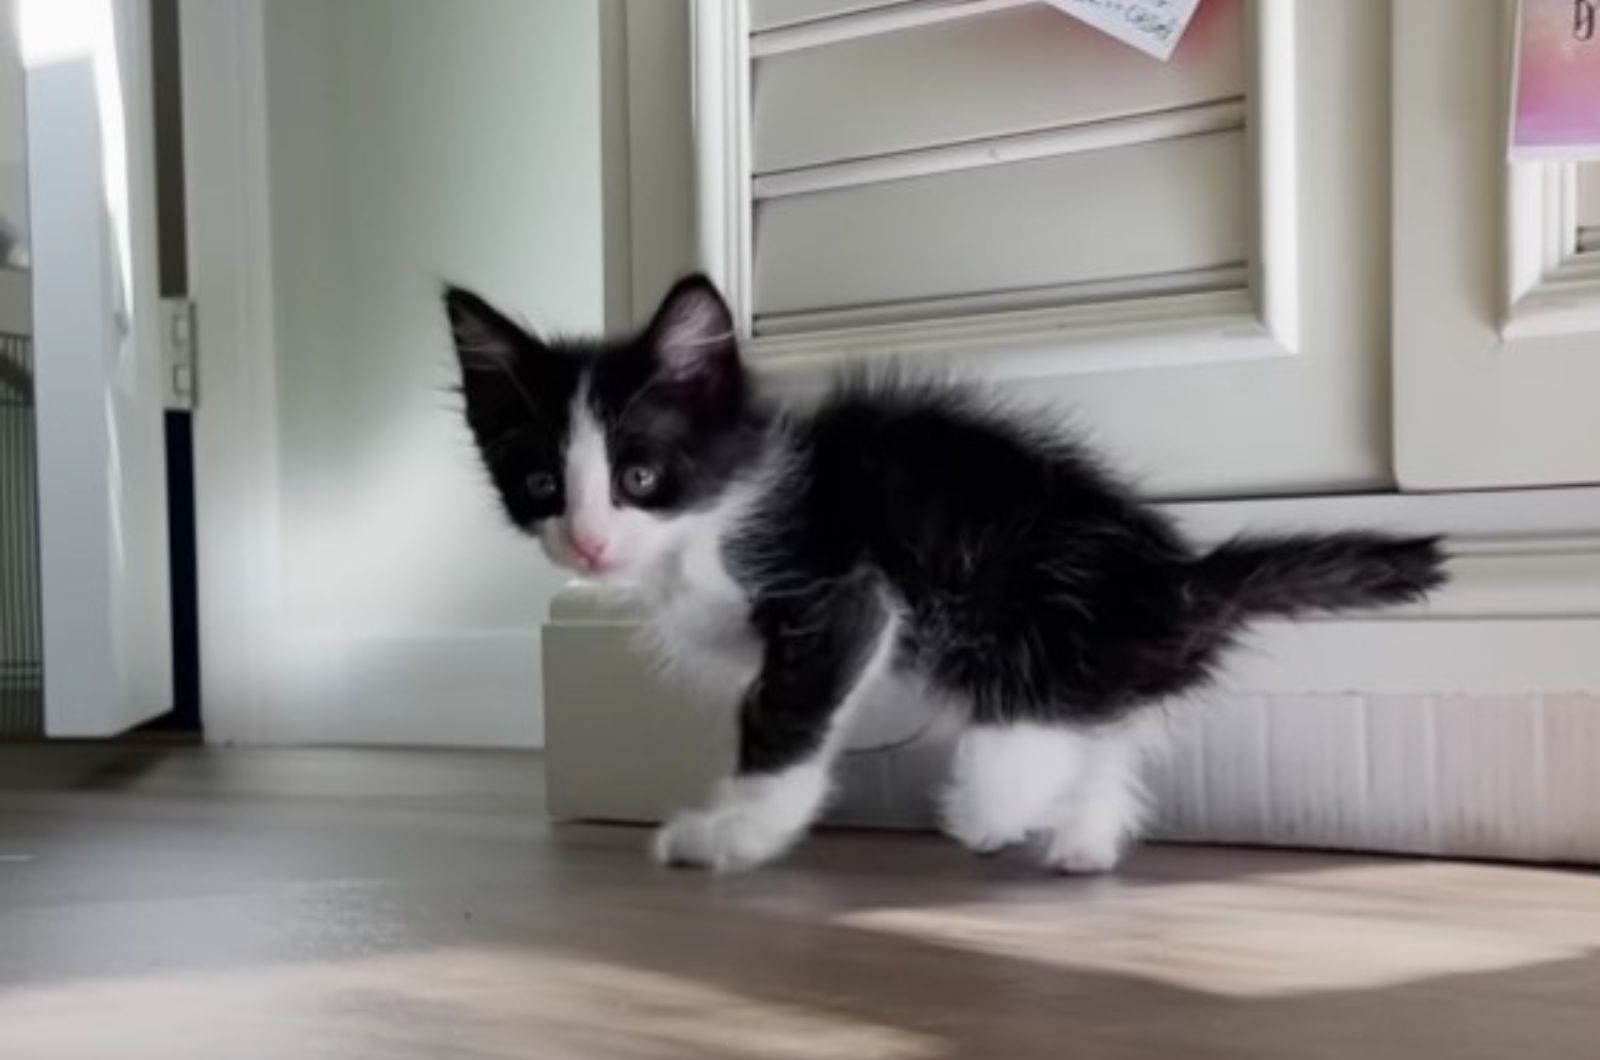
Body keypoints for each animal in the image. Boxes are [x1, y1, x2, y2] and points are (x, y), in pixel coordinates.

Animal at [441, 278, 1452, 877]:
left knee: (1043, 709)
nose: (587, 546)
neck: (718, 514)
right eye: (540, 484)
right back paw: (1084, 837)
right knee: (1104, 724)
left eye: (641, 477)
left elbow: (781, 714)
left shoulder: (838, 593)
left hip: (1013, 599)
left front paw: (738, 832)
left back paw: (995, 805)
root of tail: (1175, 578)